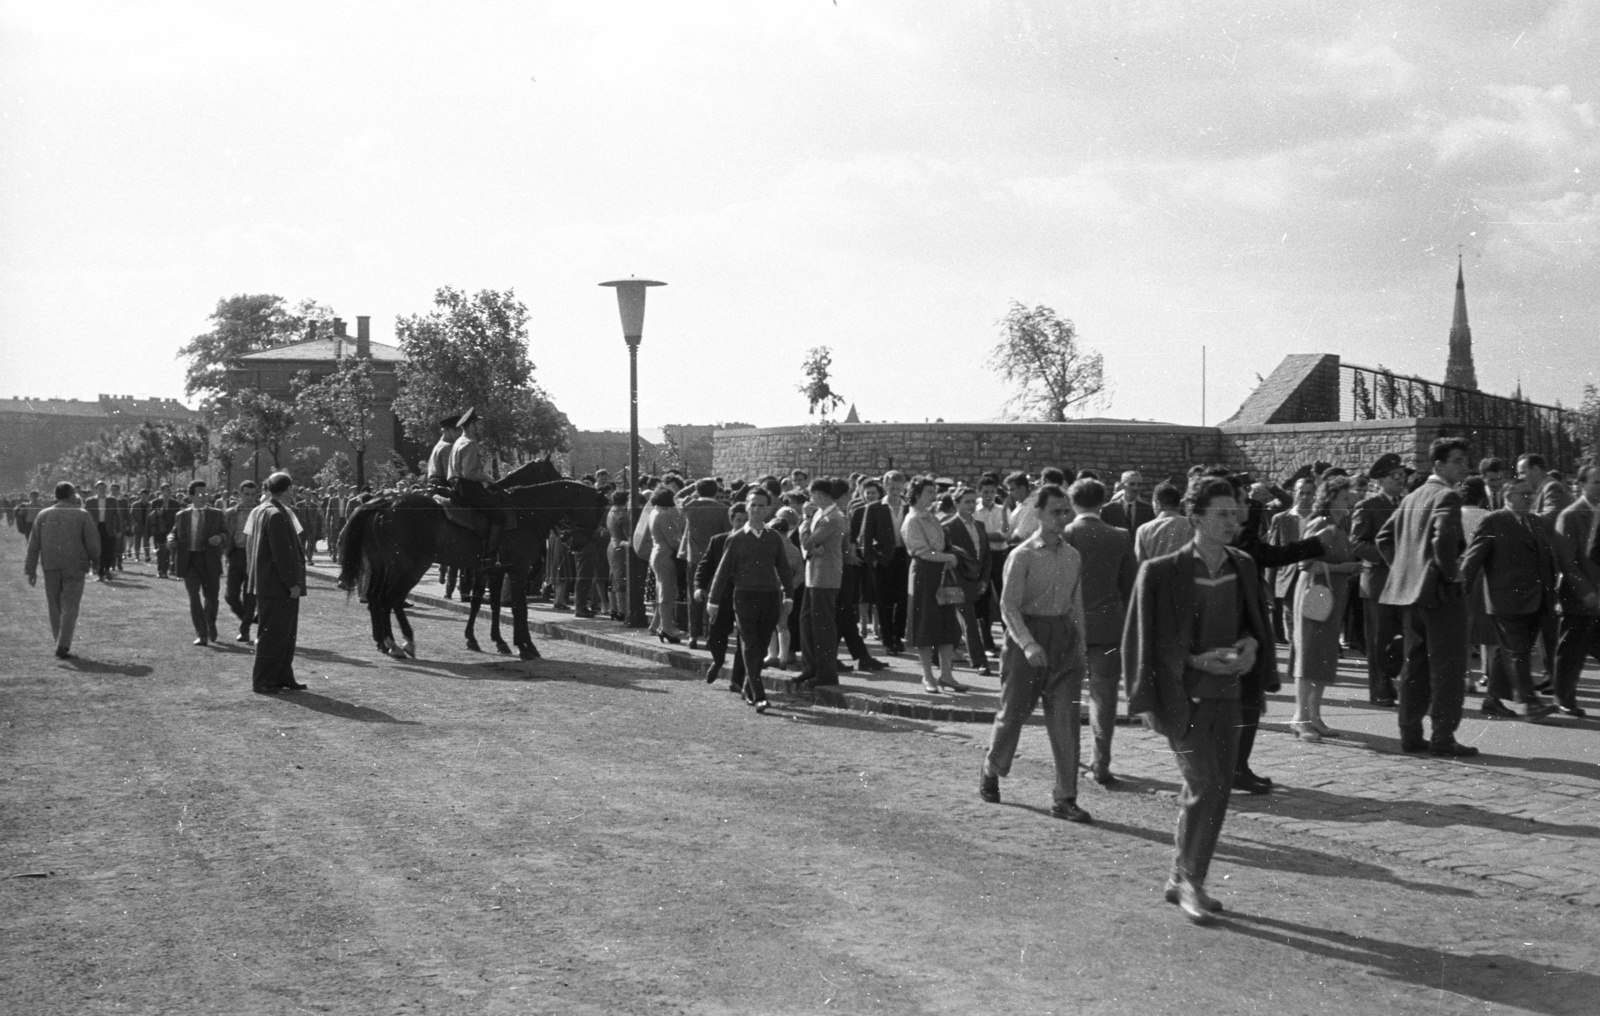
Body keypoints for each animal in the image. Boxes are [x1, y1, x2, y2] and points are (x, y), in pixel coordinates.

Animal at [340, 480, 608, 668]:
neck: (527, 512)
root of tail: (386, 502)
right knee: (391, 598)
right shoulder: (518, 570)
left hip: (386, 566)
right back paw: (403, 642)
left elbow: (489, 604)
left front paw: (492, 641)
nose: (577, 544)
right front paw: (526, 647)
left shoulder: (494, 570)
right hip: (411, 566)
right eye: (599, 511)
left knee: (378, 599)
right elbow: (518, 608)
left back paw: (386, 642)